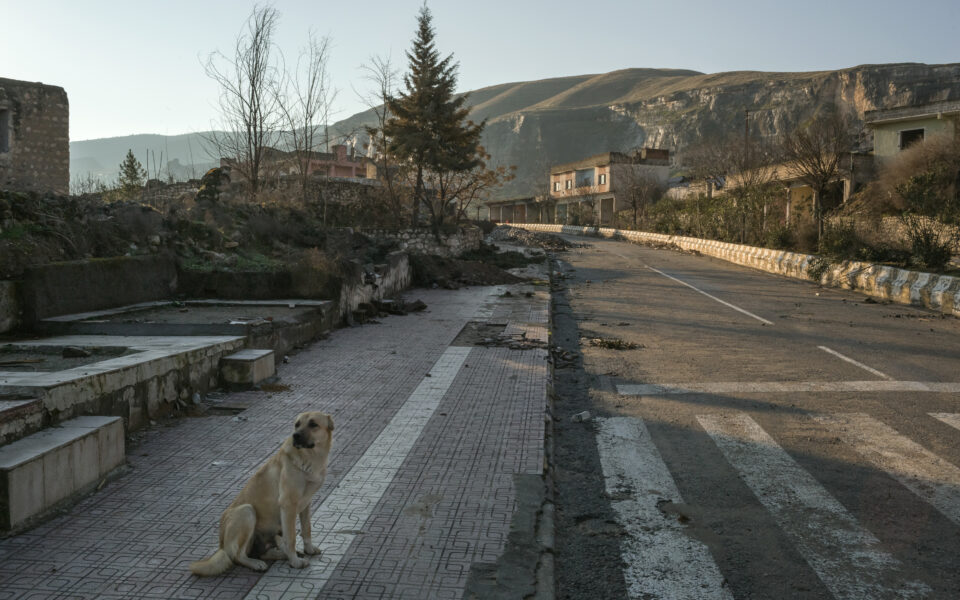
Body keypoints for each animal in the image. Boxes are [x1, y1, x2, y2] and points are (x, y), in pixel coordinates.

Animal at [189, 410, 336, 576]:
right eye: (297, 424)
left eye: (313, 424)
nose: (295, 436)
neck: (310, 457)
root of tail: (222, 546)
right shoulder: (288, 505)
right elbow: (291, 538)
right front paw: (295, 562)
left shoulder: (306, 504)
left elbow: (307, 529)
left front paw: (308, 549)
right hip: (246, 511)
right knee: (238, 556)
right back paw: (257, 563)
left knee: (263, 551)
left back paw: (280, 553)